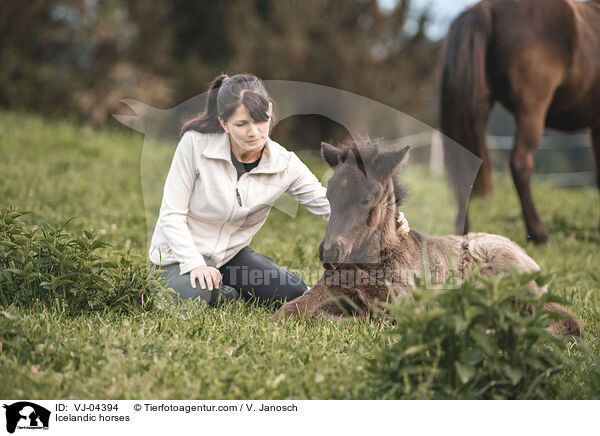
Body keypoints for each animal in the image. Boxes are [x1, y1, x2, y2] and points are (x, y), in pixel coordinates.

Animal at [276, 136, 580, 338]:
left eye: (366, 199)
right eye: (328, 196)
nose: (330, 254)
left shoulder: (405, 299)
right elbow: (291, 311)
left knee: (562, 316)